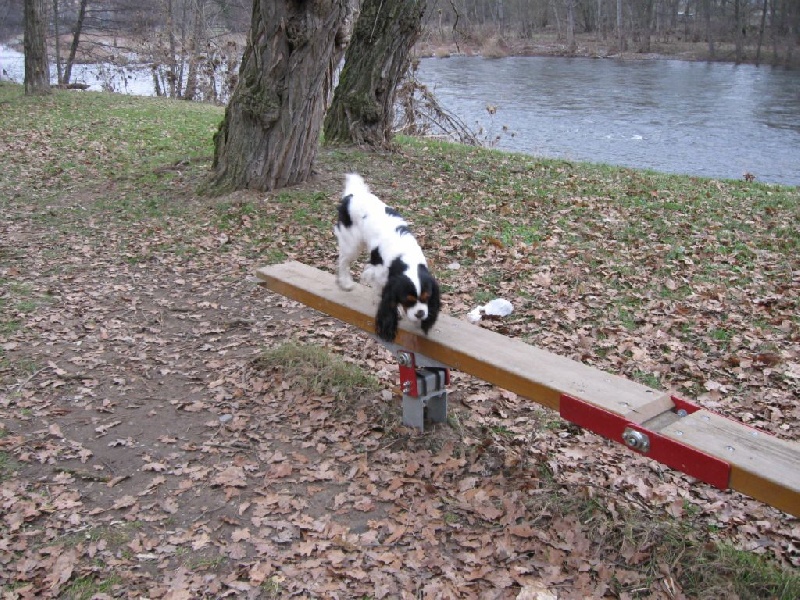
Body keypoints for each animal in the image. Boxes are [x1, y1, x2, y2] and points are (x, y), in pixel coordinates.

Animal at [334, 173, 440, 342]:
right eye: (408, 300)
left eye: (427, 298)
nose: (420, 314)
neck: (404, 258)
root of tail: (352, 195)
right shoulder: (379, 273)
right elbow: (380, 292)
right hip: (352, 244)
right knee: (343, 260)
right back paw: (346, 283)